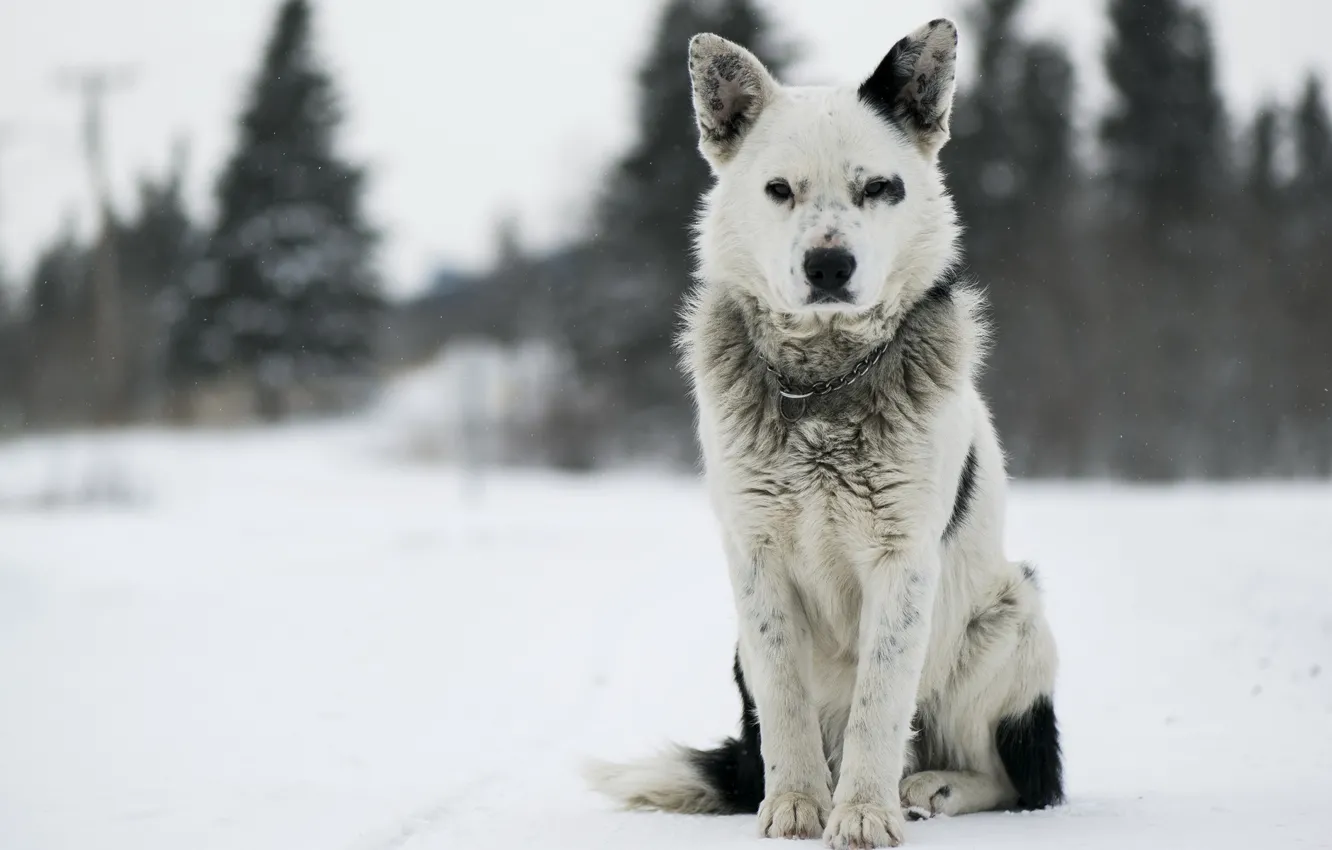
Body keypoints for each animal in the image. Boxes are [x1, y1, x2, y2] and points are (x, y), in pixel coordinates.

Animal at [588, 19, 1065, 850]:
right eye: (780, 190)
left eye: (879, 187)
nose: (829, 265)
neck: (823, 383)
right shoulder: (756, 559)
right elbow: (785, 701)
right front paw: (796, 805)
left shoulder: (901, 562)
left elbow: (882, 703)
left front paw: (864, 813)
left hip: (1013, 615)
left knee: (1019, 778)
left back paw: (932, 786)